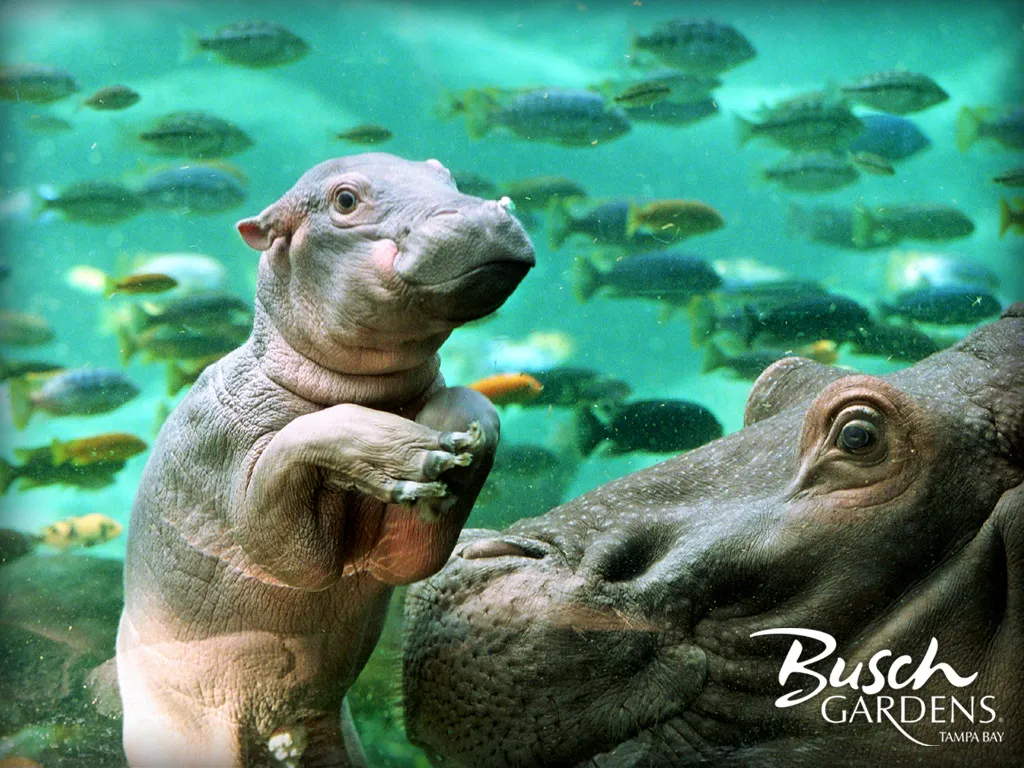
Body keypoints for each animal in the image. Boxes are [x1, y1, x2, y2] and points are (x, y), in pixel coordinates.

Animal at [115, 154, 534, 767]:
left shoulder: (397, 556)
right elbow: (298, 452)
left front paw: (451, 453)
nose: (485, 213)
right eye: (345, 200)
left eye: (444, 173)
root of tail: (273, 729)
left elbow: (471, 411)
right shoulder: (235, 476)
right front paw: (410, 455)